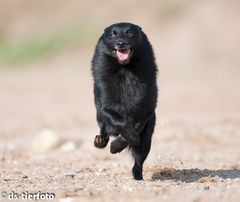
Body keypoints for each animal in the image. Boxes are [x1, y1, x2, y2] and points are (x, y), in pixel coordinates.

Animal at [91, 22, 158, 180]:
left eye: (130, 33)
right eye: (112, 34)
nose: (120, 43)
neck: (124, 68)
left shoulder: (146, 109)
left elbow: (135, 127)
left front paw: (116, 146)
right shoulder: (104, 106)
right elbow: (121, 122)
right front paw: (117, 143)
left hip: (147, 138)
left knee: (139, 160)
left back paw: (138, 177)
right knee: (104, 130)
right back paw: (100, 141)